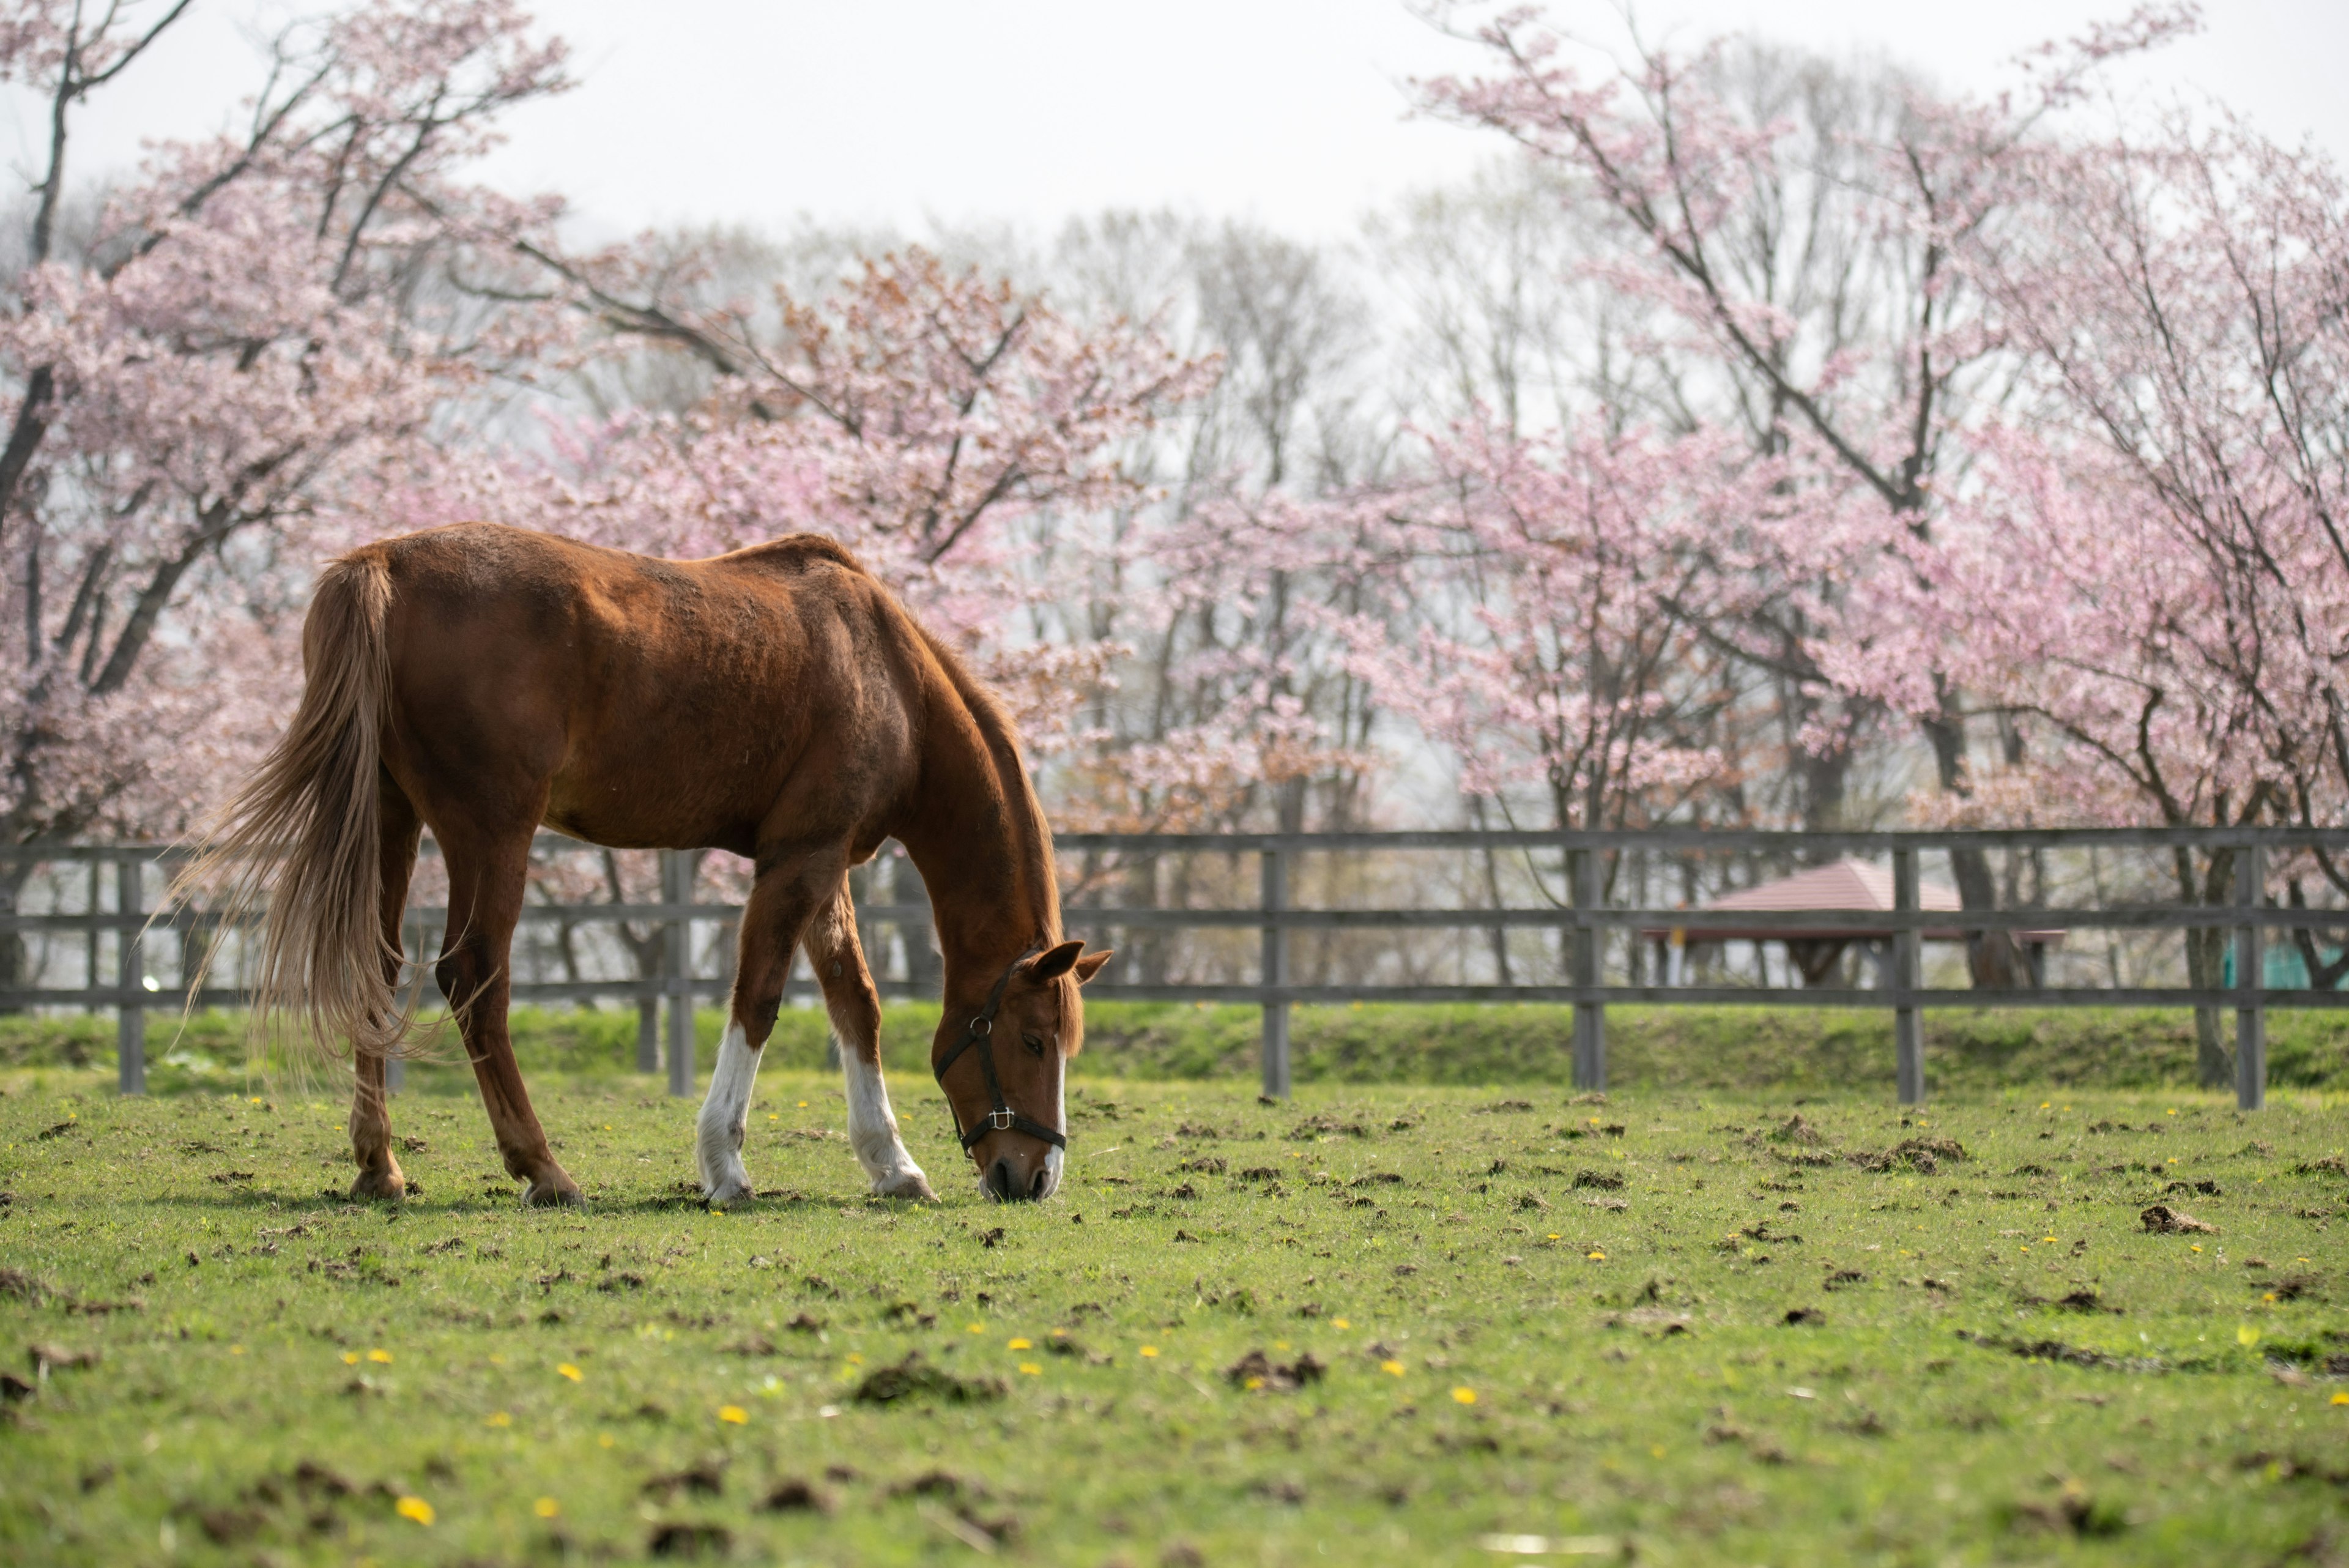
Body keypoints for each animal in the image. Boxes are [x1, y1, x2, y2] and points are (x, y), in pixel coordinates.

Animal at [178, 522, 1104, 1213]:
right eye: (1032, 1037)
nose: (1034, 1176)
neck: (890, 674)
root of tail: (385, 565)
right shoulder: (800, 859)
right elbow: (758, 1000)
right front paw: (724, 1166)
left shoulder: (825, 863)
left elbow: (857, 1006)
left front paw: (892, 1163)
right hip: (492, 830)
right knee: (473, 976)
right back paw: (543, 1168)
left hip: (390, 819)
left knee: (377, 970)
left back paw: (381, 1166)